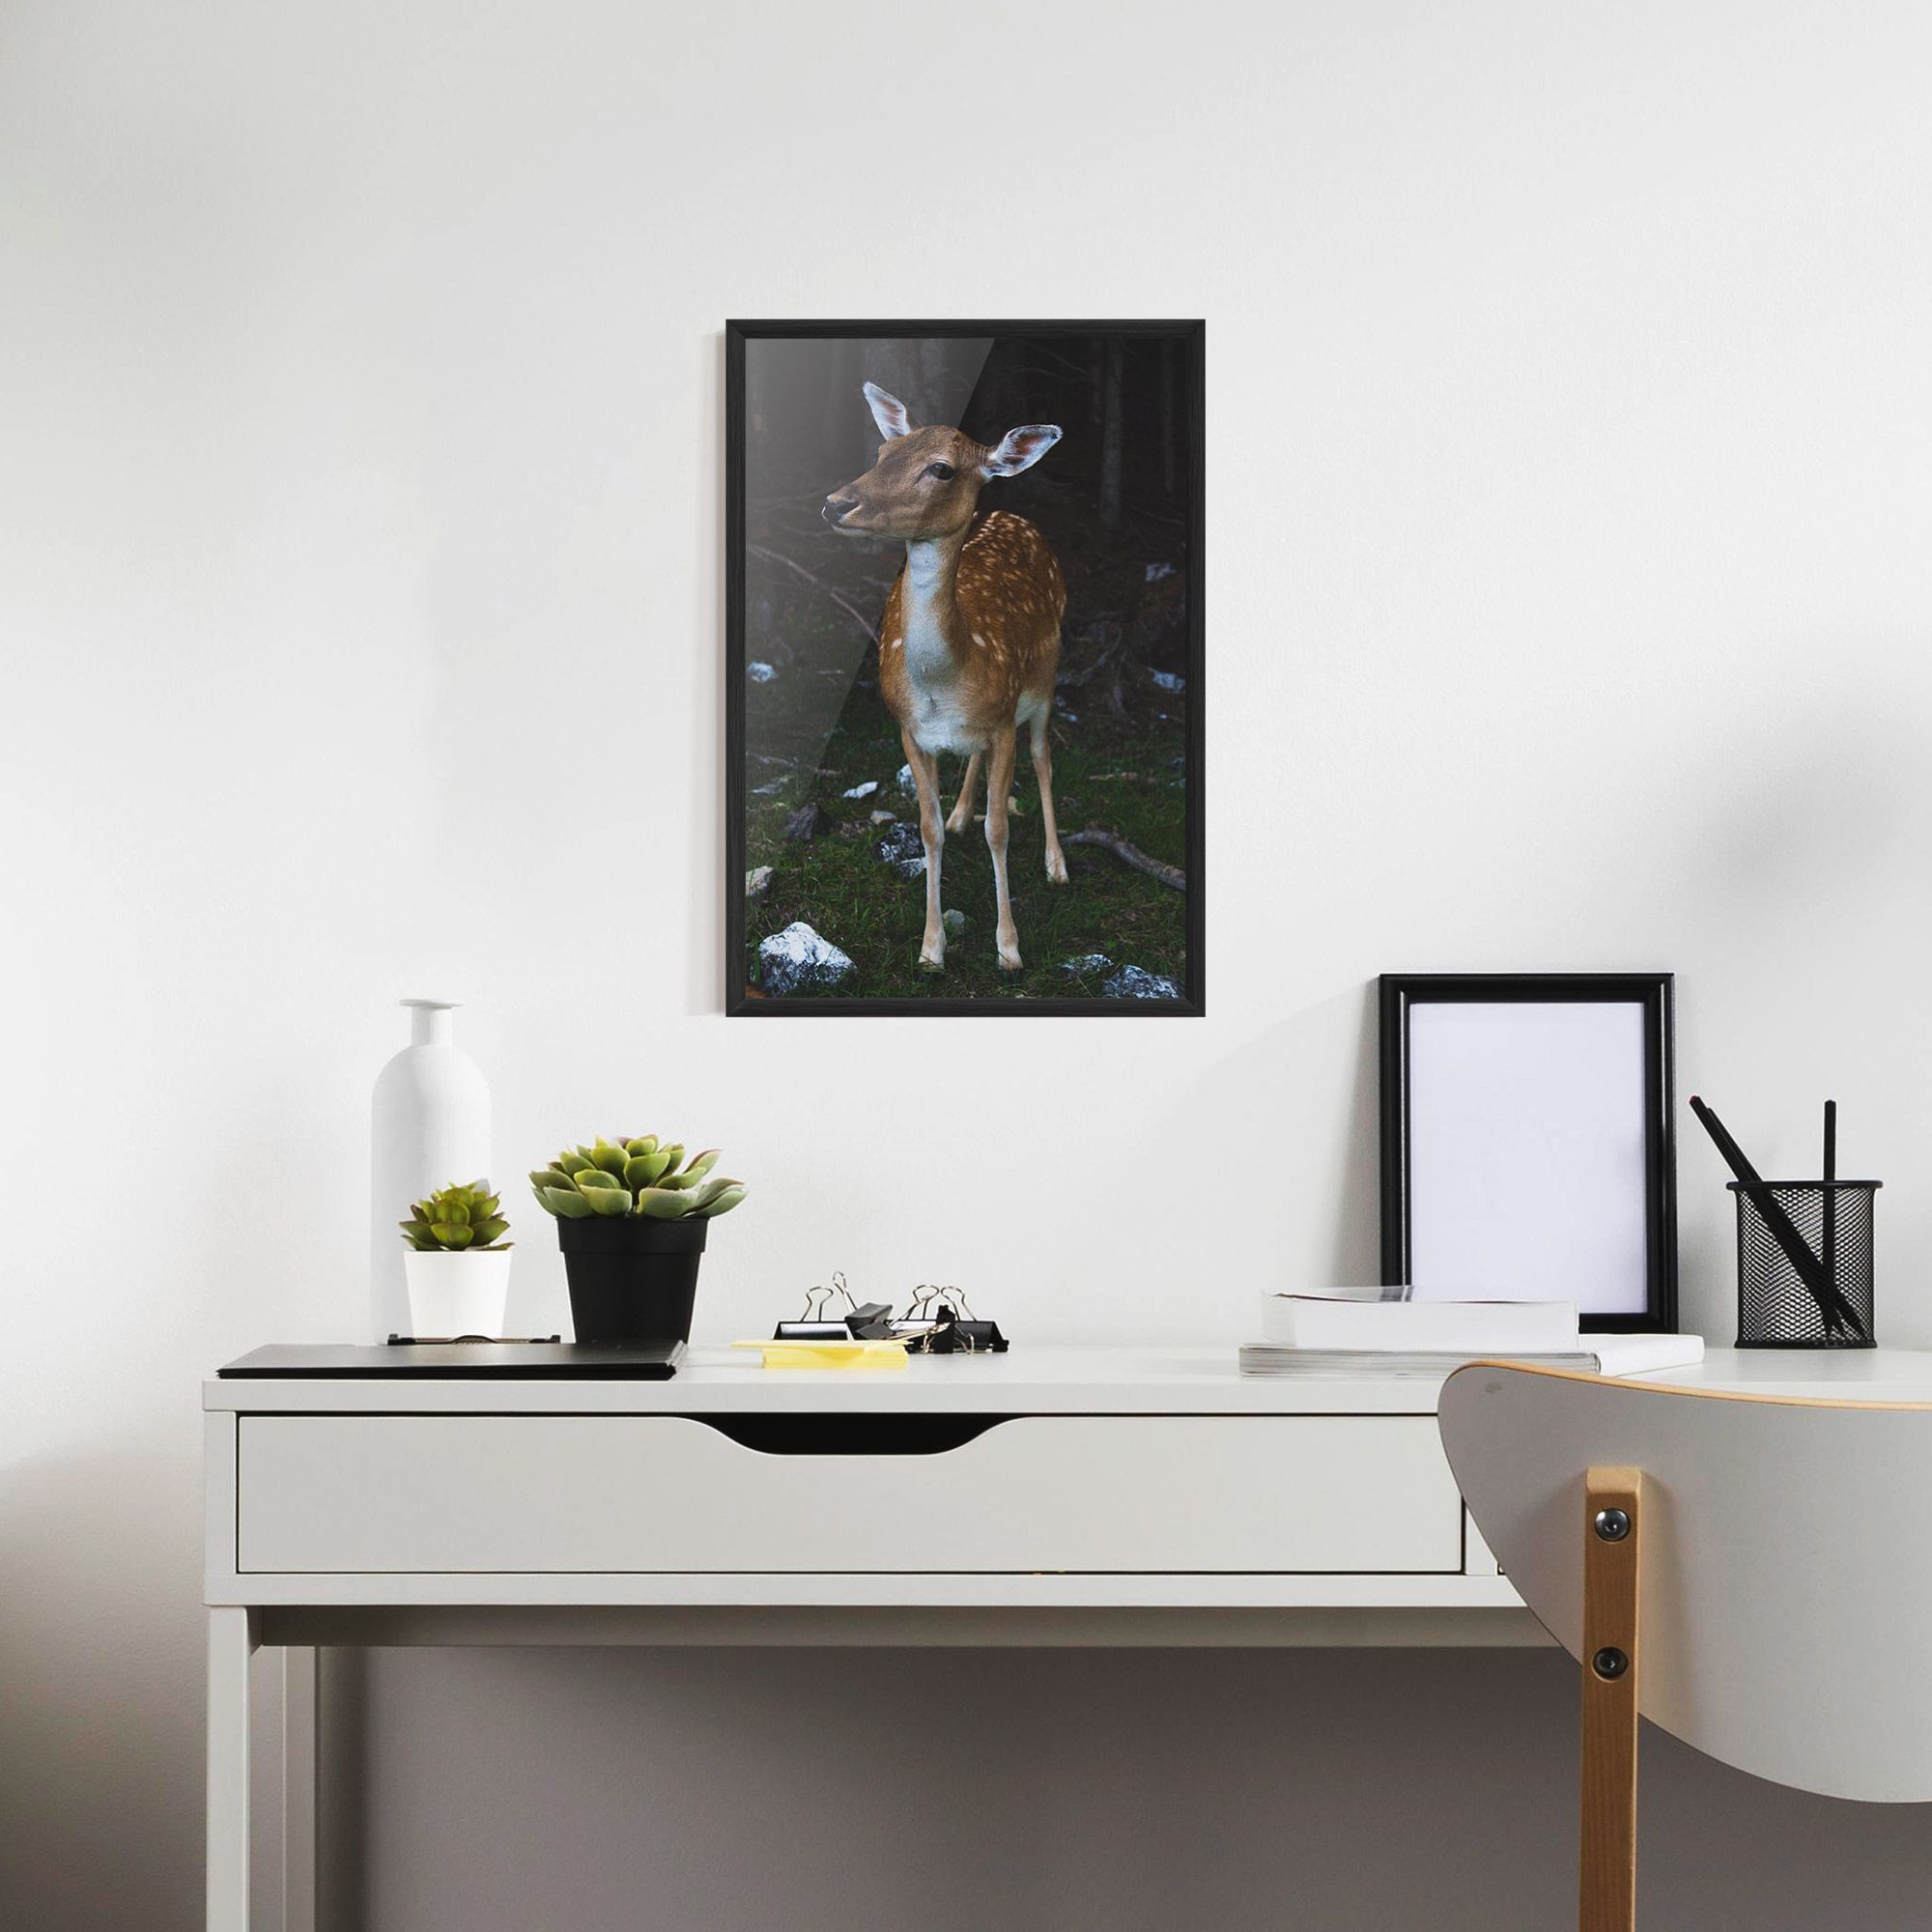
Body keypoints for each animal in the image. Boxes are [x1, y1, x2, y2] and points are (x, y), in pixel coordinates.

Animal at [822, 381, 1068, 974]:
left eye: (941, 469)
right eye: (883, 452)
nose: (836, 502)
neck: (946, 682)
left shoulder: (1003, 719)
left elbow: (999, 829)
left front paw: (1009, 948)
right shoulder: (909, 729)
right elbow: (927, 830)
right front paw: (931, 947)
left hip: (1046, 677)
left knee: (1043, 756)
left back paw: (1057, 865)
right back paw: (961, 814)